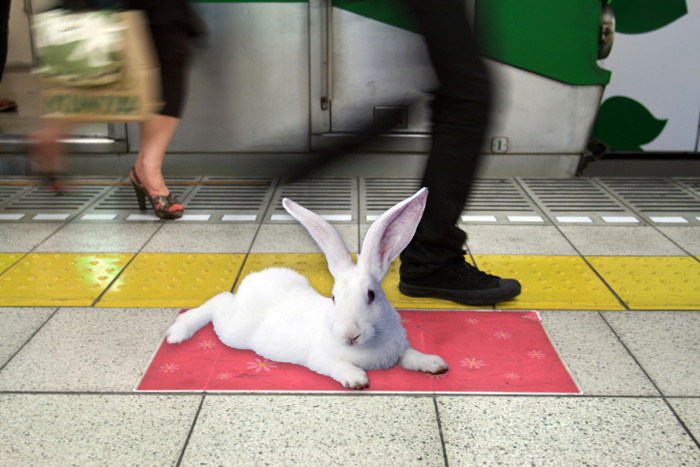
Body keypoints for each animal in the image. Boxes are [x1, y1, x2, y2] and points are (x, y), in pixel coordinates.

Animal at [165, 188, 448, 390]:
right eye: (334, 298)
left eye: (371, 295)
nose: (350, 335)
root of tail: (252, 280)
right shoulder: (321, 359)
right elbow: (337, 366)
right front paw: (357, 380)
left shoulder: (400, 350)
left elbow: (412, 356)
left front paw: (436, 364)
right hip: (232, 330)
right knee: (219, 300)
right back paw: (176, 332)